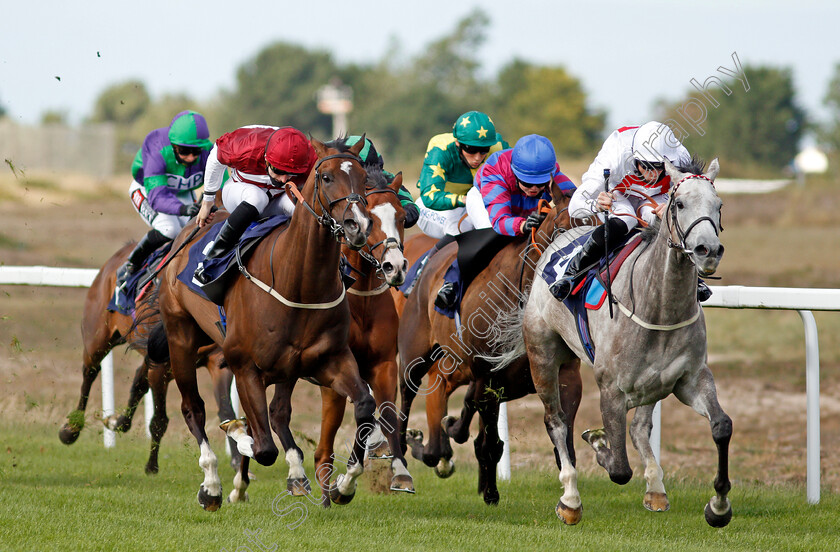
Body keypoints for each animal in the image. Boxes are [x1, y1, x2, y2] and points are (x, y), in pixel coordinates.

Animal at [57, 243, 240, 474]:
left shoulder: (215, 363)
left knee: (137, 380)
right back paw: (71, 429)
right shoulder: (162, 367)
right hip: (97, 338)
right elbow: (159, 420)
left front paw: (238, 463)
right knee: (90, 372)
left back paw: (118, 422)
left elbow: (226, 410)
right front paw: (152, 465)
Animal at [149, 137, 376, 508]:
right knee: (193, 408)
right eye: (326, 177)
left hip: (283, 368)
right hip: (180, 336)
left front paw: (345, 484)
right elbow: (263, 447)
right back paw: (212, 483)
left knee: (278, 412)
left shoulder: (330, 359)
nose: (358, 225)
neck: (297, 281)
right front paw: (238, 440)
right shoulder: (245, 367)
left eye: (363, 179)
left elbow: (366, 406)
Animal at [396, 183, 580, 502]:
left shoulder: (564, 374)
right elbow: (490, 443)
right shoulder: (489, 377)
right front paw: (491, 491)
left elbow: (563, 441)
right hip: (414, 353)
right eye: (560, 230)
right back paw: (403, 456)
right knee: (407, 396)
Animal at [488, 158, 732, 528]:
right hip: (543, 354)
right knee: (557, 421)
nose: (709, 251)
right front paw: (599, 443)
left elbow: (721, 426)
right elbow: (618, 468)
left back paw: (656, 488)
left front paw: (718, 506)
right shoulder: (611, 390)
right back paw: (570, 499)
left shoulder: (690, 378)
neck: (660, 308)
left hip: (652, 384)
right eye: (679, 204)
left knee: (640, 427)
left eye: (718, 206)